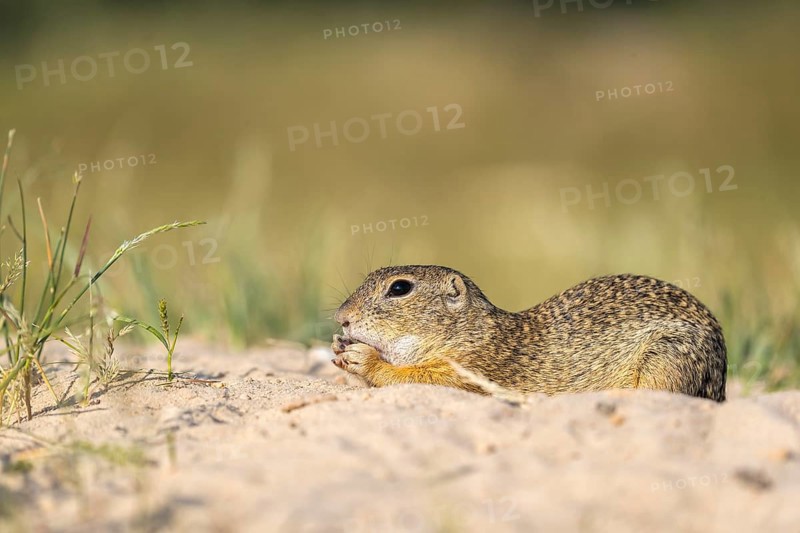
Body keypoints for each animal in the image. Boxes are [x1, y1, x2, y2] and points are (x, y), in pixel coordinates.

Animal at [331, 265, 727, 401]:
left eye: (400, 288)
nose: (341, 317)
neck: (469, 332)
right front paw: (339, 347)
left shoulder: (471, 370)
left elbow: (415, 377)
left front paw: (363, 358)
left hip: (667, 359)